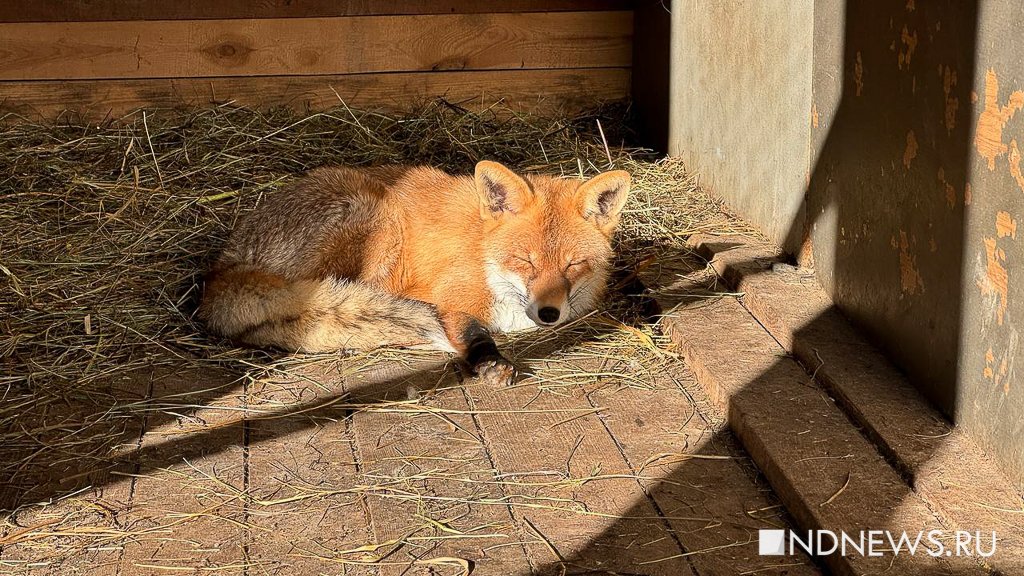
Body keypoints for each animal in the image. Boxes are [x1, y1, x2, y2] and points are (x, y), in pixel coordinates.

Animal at [197, 158, 630, 383]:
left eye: (573, 264)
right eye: (525, 261)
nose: (548, 313)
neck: (484, 254)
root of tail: (221, 270)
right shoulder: (452, 297)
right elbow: (471, 330)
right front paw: (488, 359)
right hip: (376, 220)